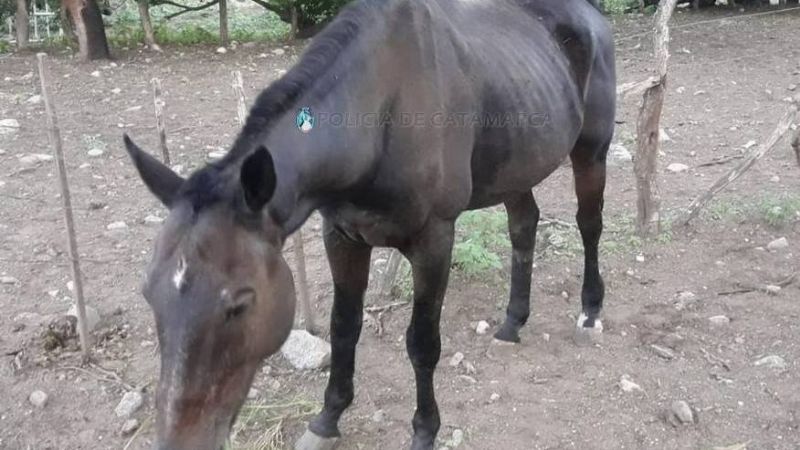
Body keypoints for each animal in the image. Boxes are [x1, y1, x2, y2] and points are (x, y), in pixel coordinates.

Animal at [122, 0, 615, 448]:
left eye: (239, 304)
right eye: (148, 293)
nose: (180, 441)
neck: (382, 116)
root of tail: (590, 13)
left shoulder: (434, 240)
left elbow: (422, 342)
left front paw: (424, 431)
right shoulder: (342, 237)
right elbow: (344, 327)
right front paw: (327, 419)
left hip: (591, 152)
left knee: (589, 224)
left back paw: (590, 310)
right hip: (517, 164)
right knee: (524, 226)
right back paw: (513, 322)